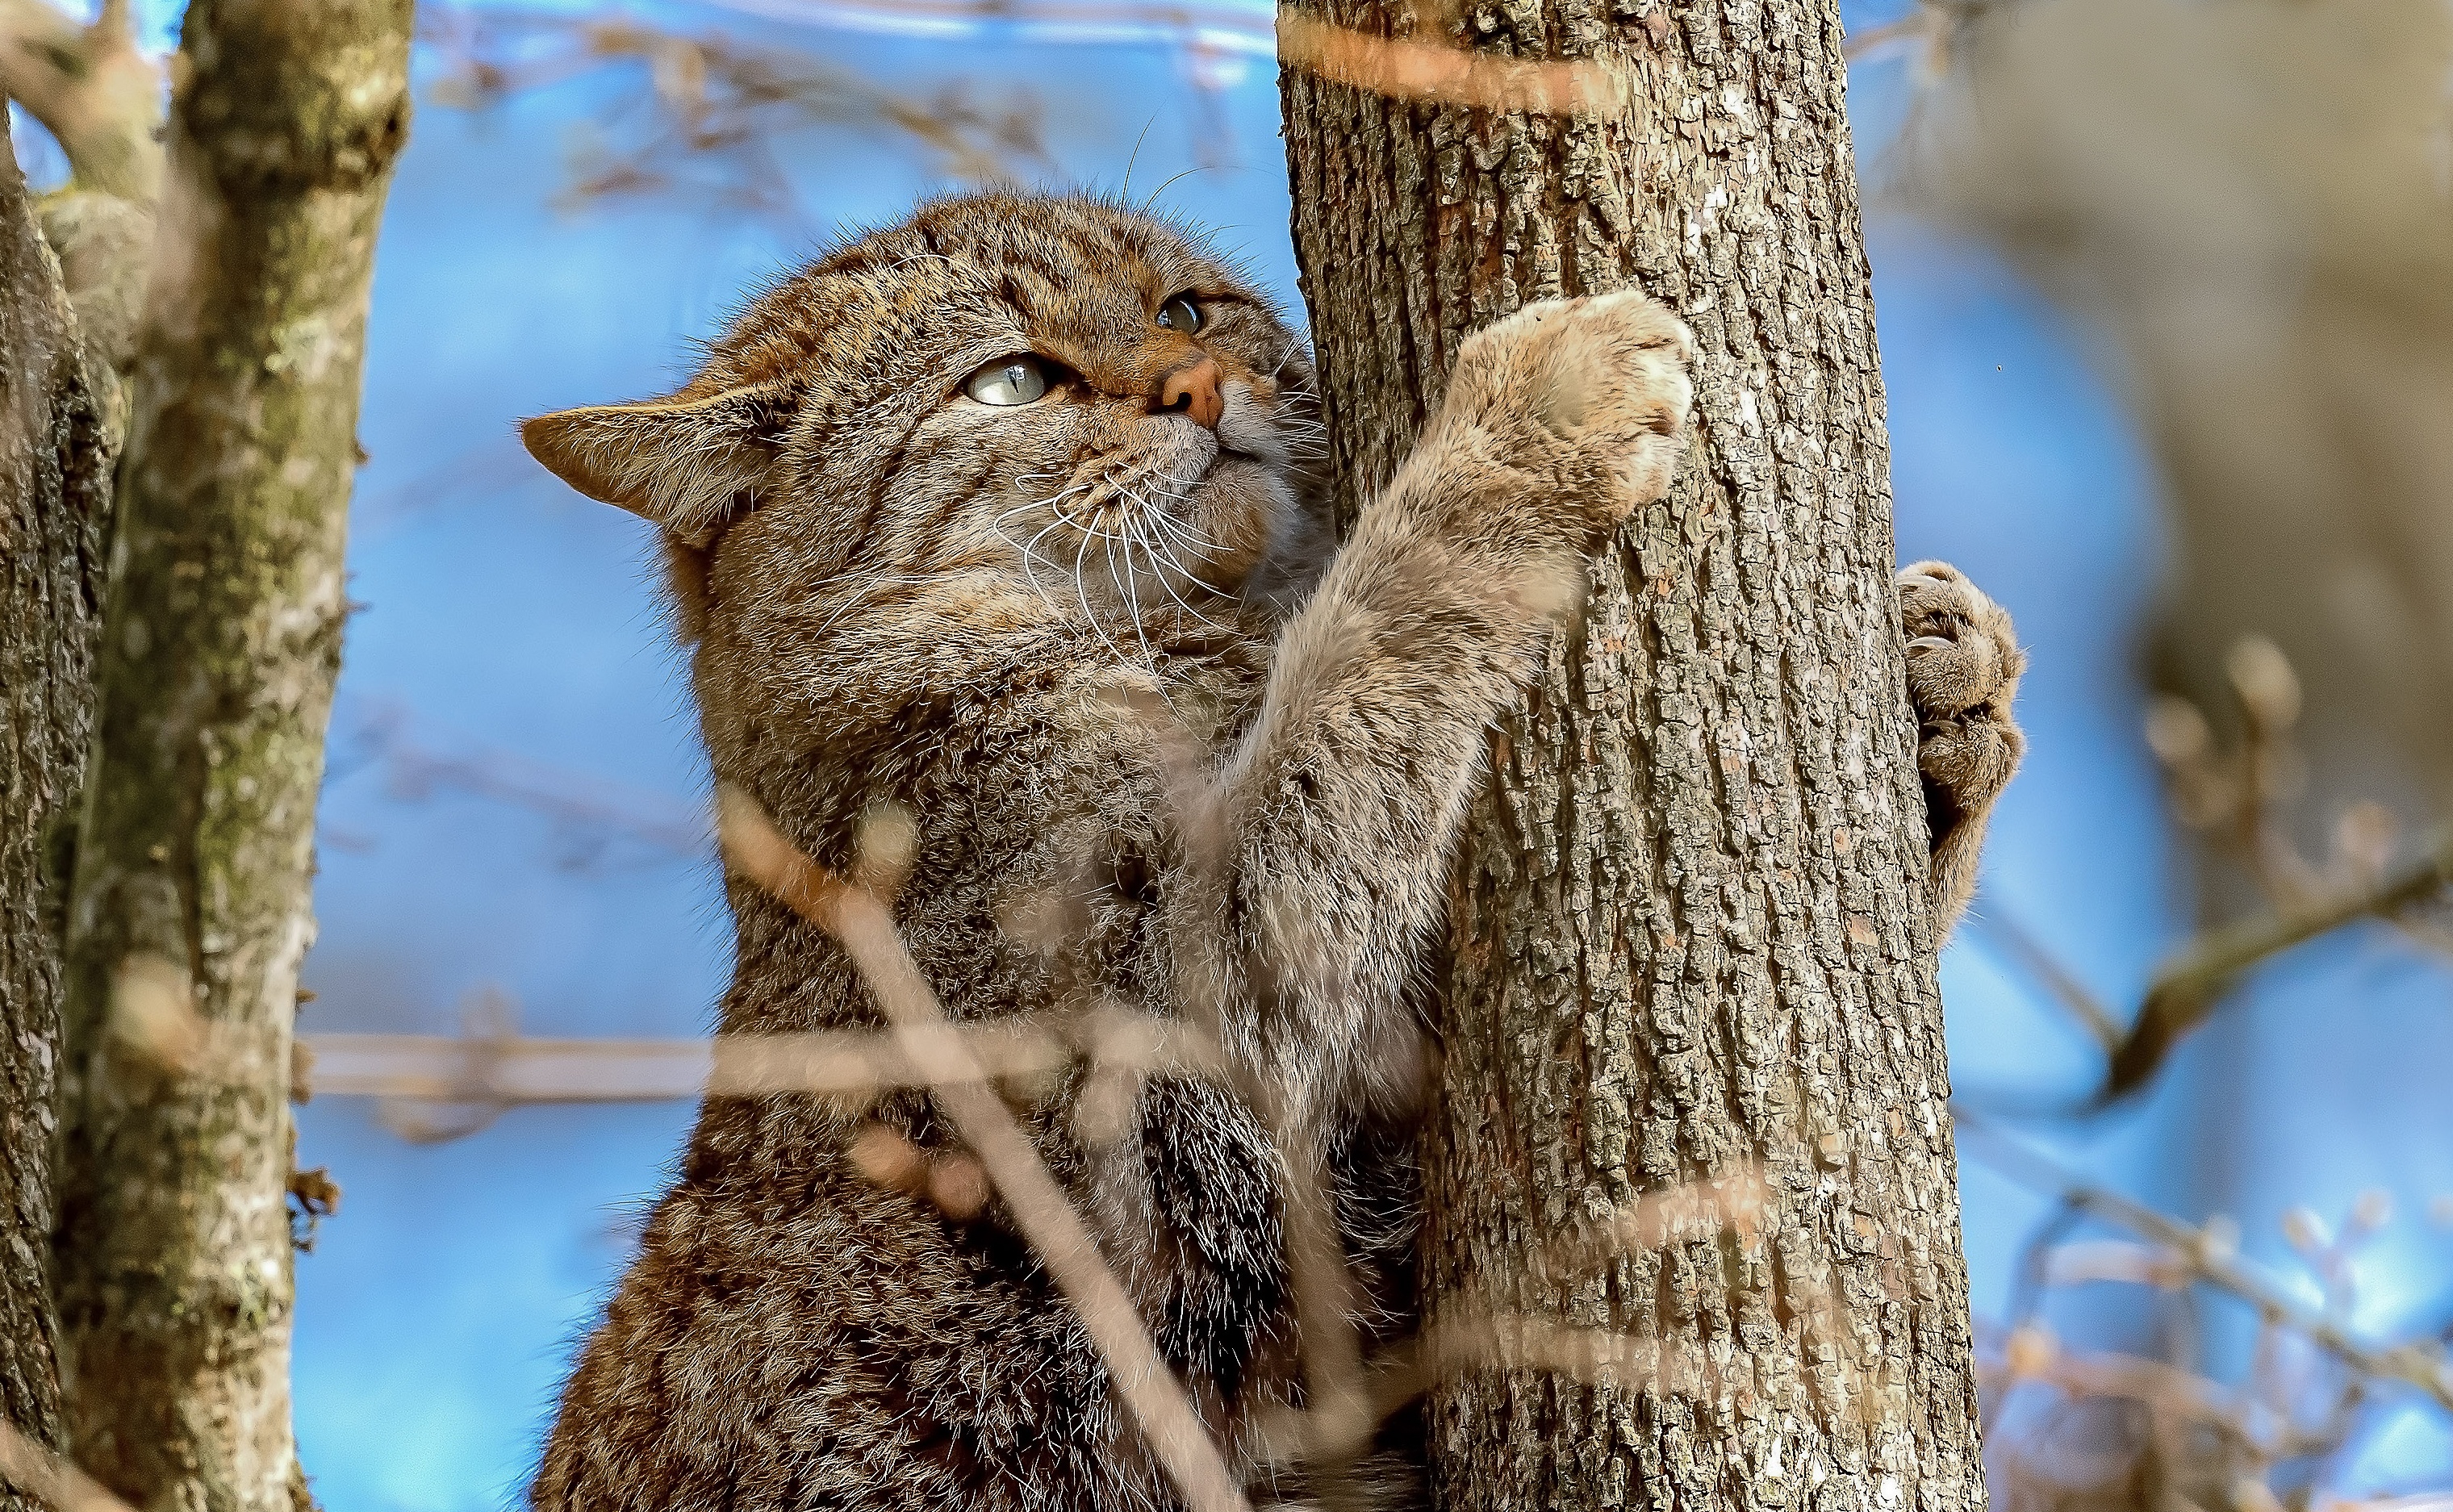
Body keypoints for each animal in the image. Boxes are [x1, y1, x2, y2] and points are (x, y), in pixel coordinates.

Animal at [517, 191, 2031, 1512]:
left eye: (1186, 308)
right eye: (1010, 382)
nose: (1197, 383)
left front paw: (1944, 700)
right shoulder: (1162, 1106)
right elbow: (1362, 660)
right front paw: (1514, 433)